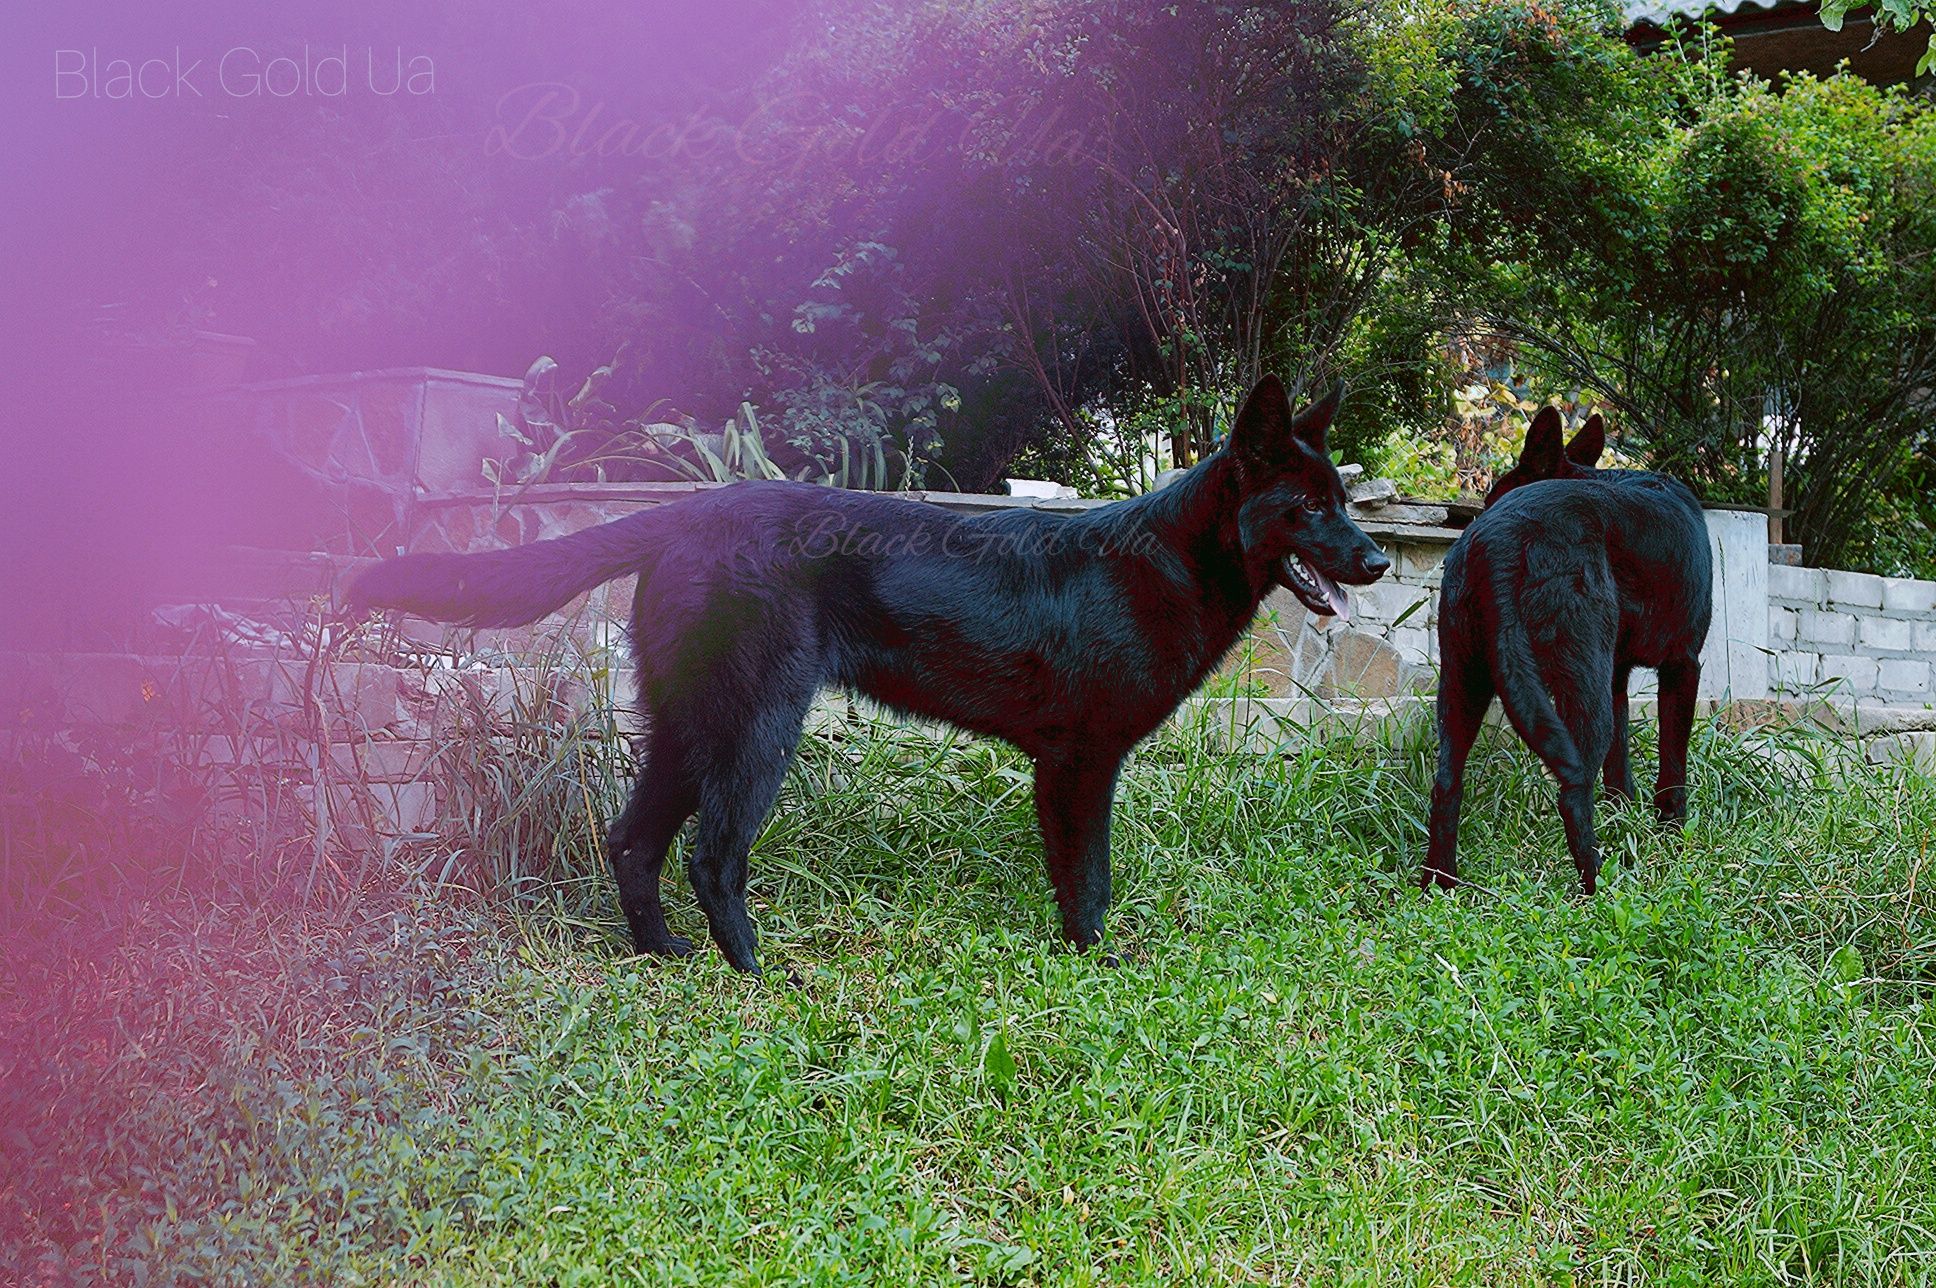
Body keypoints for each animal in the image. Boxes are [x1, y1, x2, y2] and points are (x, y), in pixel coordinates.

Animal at [352, 377, 1393, 968]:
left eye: (1343, 501)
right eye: (1307, 506)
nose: (1381, 561)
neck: (1166, 563)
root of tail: (688, 512)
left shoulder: (1066, 768)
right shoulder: (1080, 765)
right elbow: (1089, 883)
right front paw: (1099, 966)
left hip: (689, 728)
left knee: (633, 841)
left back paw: (663, 956)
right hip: (759, 727)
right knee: (711, 856)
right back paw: (757, 974)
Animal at [1424, 406, 1711, 890]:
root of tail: (1500, 539)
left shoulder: (1615, 678)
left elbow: (1619, 760)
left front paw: (1623, 813)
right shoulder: (1682, 666)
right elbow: (1672, 765)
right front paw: (1671, 831)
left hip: (1466, 680)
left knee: (1446, 783)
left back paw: (1440, 883)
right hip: (1580, 689)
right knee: (1573, 791)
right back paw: (1597, 884)